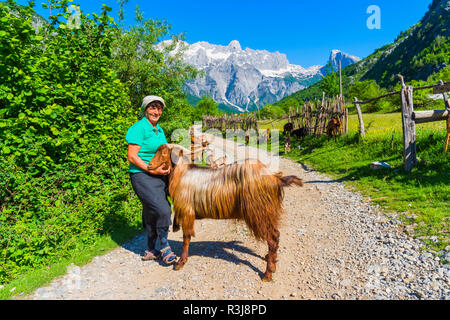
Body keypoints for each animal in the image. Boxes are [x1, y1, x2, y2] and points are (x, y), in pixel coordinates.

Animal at [149, 144, 304, 282]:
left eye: (164, 153)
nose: (149, 165)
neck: (182, 174)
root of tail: (274, 178)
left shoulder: (187, 212)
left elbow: (186, 238)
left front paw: (181, 262)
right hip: (268, 212)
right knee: (276, 235)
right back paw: (271, 263)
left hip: (259, 212)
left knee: (272, 239)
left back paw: (268, 274)